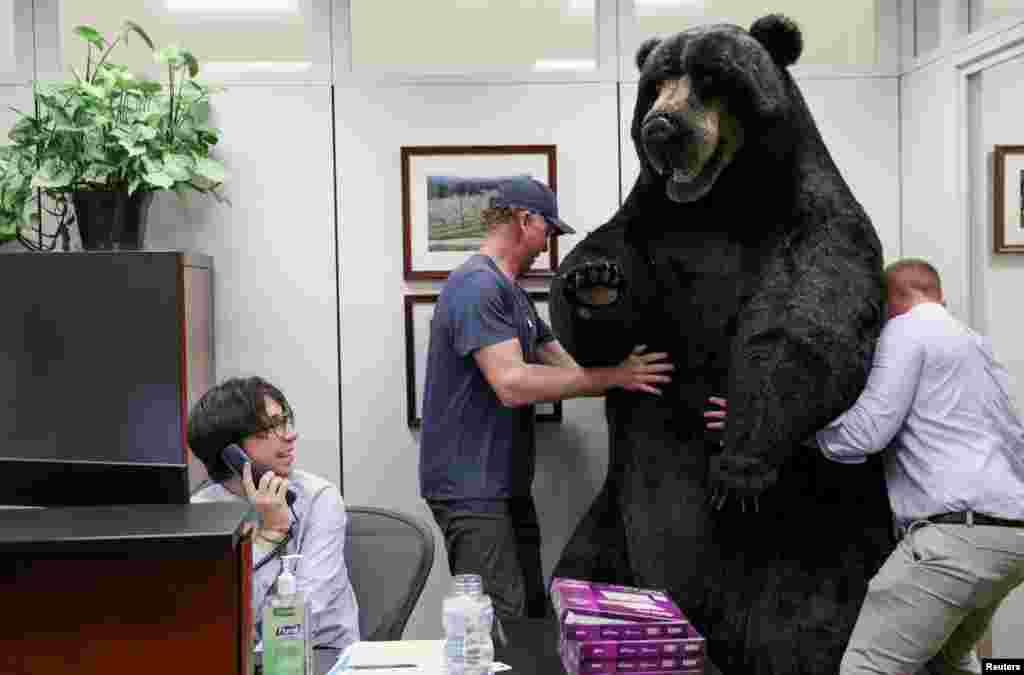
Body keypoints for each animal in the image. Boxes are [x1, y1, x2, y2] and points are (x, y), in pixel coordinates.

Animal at [552, 14, 897, 675]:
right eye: (657, 82)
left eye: (711, 78)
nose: (661, 127)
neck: (715, 207)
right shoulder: (649, 230)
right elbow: (601, 317)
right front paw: (593, 282)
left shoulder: (814, 224)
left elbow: (808, 321)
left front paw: (738, 462)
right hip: (616, 519)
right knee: (588, 561)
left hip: (821, 524)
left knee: (810, 618)